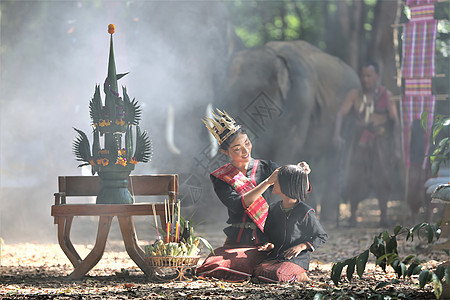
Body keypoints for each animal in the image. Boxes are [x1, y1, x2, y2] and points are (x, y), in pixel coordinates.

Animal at [216, 39, 360, 223]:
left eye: (249, 93)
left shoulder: (300, 98)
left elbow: (289, 144)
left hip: (351, 114)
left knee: (336, 154)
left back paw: (328, 218)